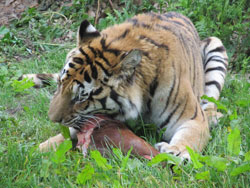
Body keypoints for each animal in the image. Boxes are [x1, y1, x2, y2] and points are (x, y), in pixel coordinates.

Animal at [23, 11, 229, 159]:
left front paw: (175, 151)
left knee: (210, 102)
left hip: (216, 47)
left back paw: (213, 117)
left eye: (81, 97)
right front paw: (38, 149)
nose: (52, 119)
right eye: (60, 84)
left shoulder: (192, 119)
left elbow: (188, 137)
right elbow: (66, 134)